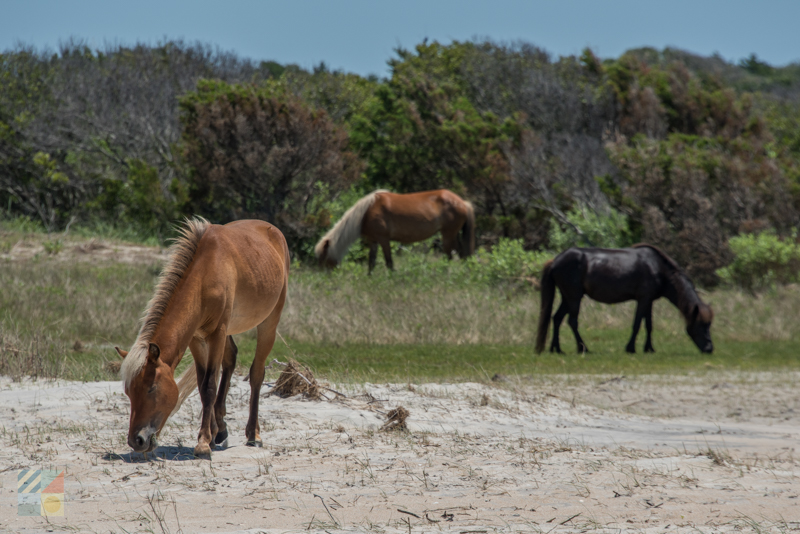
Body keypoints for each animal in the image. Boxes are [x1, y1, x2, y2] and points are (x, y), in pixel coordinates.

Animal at [112, 218, 288, 456]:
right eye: (129, 392)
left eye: (151, 388)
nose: (136, 440)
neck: (204, 275)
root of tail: (272, 230)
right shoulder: (196, 338)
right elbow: (205, 385)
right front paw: (211, 436)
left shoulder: (217, 333)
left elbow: (209, 386)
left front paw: (203, 443)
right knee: (230, 359)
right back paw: (221, 428)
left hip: (268, 322)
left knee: (257, 374)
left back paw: (253, 435)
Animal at [314, 189, 476, 274]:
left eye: (323, 258)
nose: (321, 277)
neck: (367, 212)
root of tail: (463, 202)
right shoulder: (373, 241)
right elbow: (371, 263)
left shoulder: (384, 240)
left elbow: (389, 262)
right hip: (454, 234)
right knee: (462, 254)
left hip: (448, 235)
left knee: (450, 256)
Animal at [536, 246, 712, 356]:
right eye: (701, 325)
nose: (710, 349)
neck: (658, 268)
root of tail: (555, 261)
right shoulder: (643, 299)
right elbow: (637, 324)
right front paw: (631, 348)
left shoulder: (649, 301)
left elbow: (649, 325)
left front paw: (649, 348)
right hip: (574, 297)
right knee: (572, 321)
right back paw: (583, 348)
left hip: (567, 297)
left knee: (557, 318)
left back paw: (556, 349)